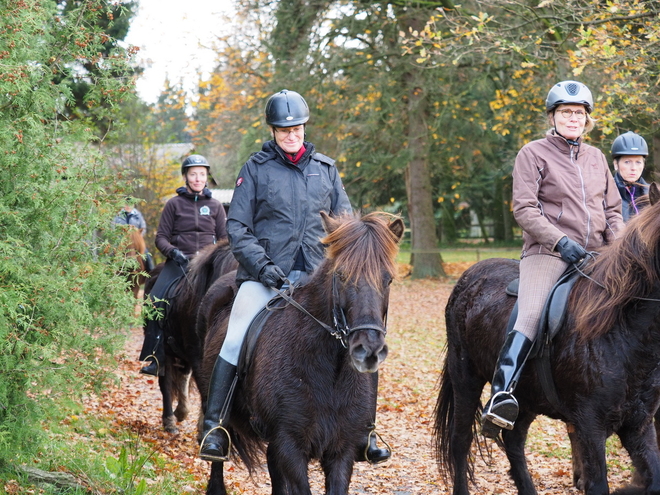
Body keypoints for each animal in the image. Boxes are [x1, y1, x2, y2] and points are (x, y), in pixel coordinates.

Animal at [143, 240, 238, 434]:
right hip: (166, 352)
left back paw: (181, 412)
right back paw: (170, 421)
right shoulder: (196, 354)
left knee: (183, 377)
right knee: (166, 383)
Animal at [196, 212, 402, 495]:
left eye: (388, 279)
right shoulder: (290, 445)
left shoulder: (342, 450)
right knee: (217, 451)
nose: (369, 350)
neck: (330, 374)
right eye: (341, 275)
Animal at [436, 183, 660, 495]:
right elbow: (598, 483)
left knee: (514, 442)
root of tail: (468, 278)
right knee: (461, 441)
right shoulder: (590, 425)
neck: (624, 330)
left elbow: (653, 479)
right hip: (465, 378)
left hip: (526, 397)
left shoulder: (639, 424)